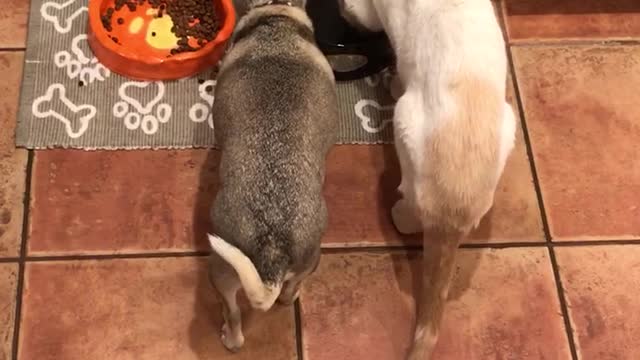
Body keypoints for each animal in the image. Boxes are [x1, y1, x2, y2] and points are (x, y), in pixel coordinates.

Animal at [340, 1, 516, 358]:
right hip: (510, 124)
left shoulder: (371, 12)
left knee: (409, 214)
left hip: (402, 121)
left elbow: (358, 15)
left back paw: (397, 214)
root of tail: (453, 213)